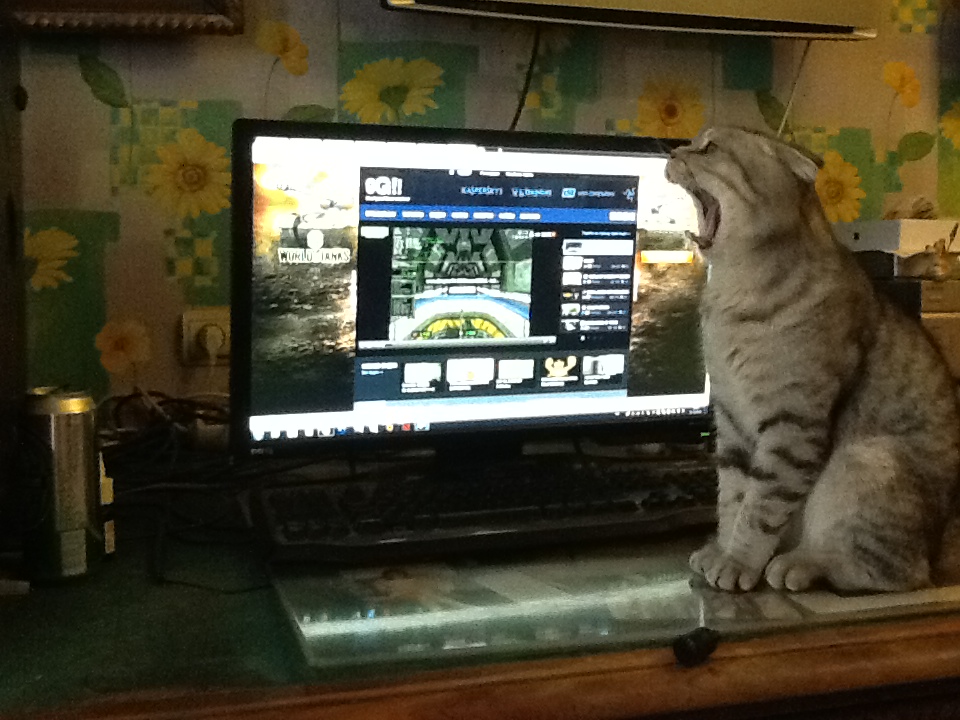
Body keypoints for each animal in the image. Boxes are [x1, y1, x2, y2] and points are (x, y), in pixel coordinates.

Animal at [664, 126, 960, 593]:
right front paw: (723, 548)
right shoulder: (731, 422)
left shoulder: (793, 424)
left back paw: (802, 563)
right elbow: (733, 497)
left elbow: (760, 507)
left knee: (894, 572)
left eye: (709, 148)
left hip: (863, 461)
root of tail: (940, 551)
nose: (673, 150)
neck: (730, 296)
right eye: (691, 142)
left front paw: (738, 561)